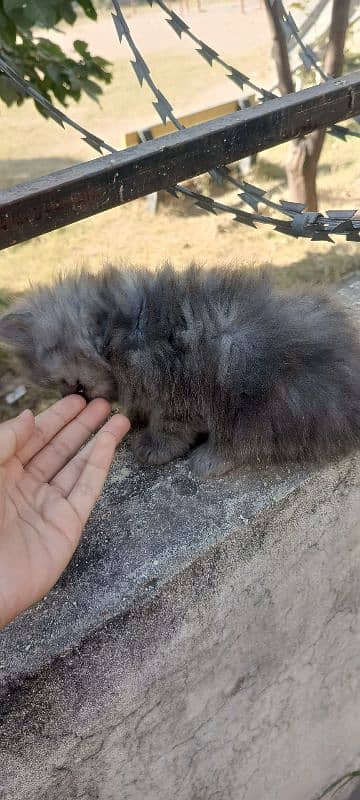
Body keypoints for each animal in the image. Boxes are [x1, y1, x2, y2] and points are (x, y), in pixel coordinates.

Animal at [0, 262, 360, 478]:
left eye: (65, 384)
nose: (69, 397)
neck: (115, 330)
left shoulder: (178, 391)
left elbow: (170, 428)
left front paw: (152, 447)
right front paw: (134, 418)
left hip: (252, 400)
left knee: (246, 442)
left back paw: (209, 459)